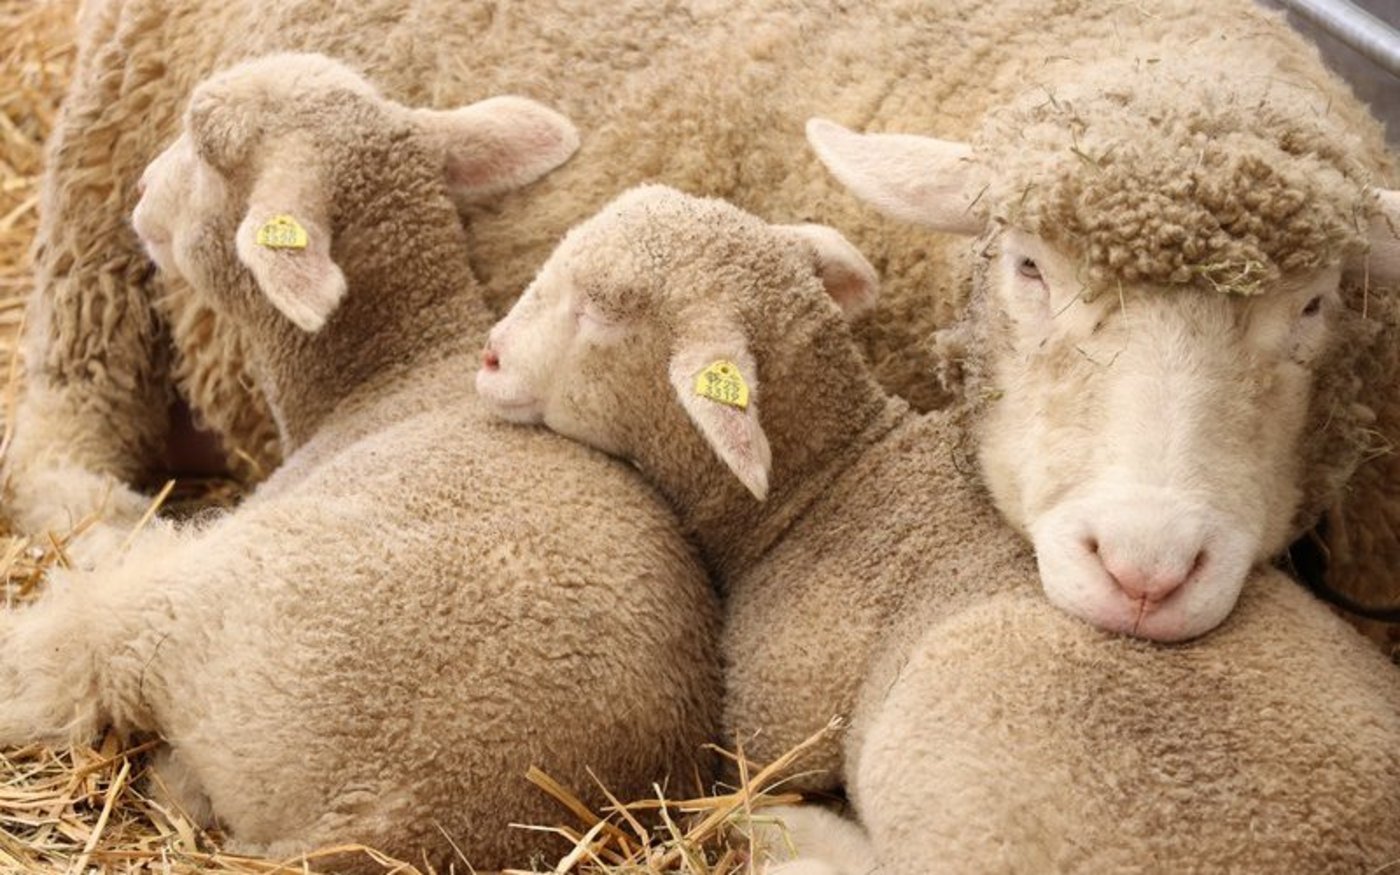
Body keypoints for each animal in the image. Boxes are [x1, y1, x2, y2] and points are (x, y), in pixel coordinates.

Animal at [0, 55, 720, 872]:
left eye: (207, 143)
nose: (142, 191)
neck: (389, 371)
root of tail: (390, 820)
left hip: (195, 606)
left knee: (66, 657)